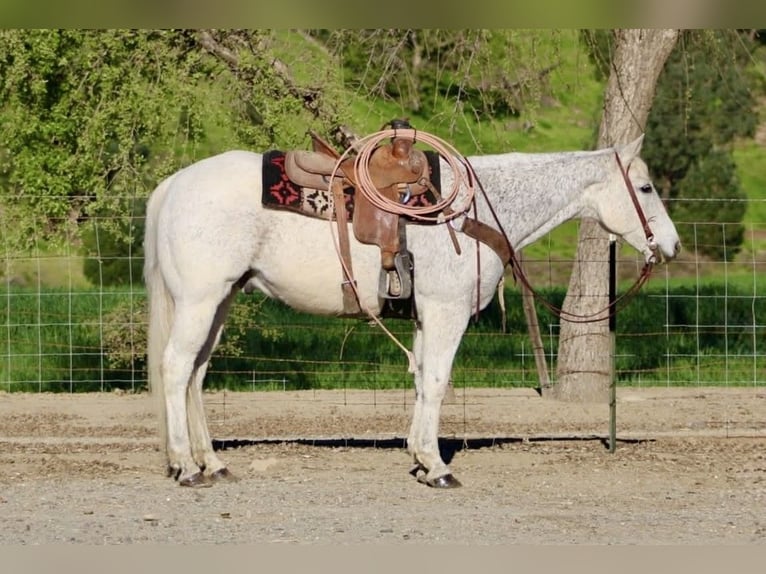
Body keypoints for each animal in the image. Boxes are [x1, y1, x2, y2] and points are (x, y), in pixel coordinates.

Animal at [143, 133, 681, 488]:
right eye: (647, 188)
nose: (672, 246)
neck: (472, 211)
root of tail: (172, 186)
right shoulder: (446, 311)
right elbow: (439, 381)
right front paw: (437, 467)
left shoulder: (425, 315)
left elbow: (423, 381)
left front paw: (420, 459)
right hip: (199, 300)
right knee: (176, 368)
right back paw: (186, 467)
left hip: (221, 299)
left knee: (195, 374)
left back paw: (212, 463)